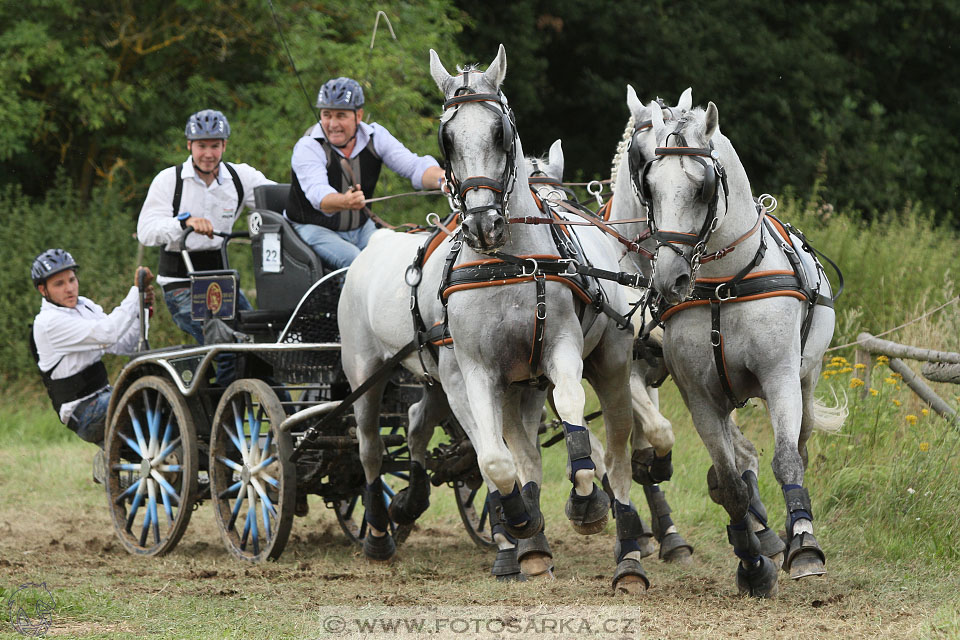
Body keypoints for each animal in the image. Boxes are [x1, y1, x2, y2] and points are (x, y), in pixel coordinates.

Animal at [340, 46, 652, 596]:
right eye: (446, 139)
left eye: (500, 133)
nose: (484, 223)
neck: (505, 263)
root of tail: (371, 246)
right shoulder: (477, 372)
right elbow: (494, 458)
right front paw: (518, 524)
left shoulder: (556, 352)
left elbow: (569, 416)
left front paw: (582, 502)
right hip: (367, 375)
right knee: (373, 449)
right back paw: (381, 532)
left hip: (604, 367)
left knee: (615, 453)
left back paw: (626, 553)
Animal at [636, 100, 848, 596]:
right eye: (649, 186)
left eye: (702, 187)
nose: (670, 280)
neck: (722, 286)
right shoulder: (701, 398)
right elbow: (731, 486)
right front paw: (752, 566)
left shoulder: (779, 378)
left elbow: (786, 461)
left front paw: (803, 547)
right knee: (732, 470)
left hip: (807, 379)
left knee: (800, 450)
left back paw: (794, 534)